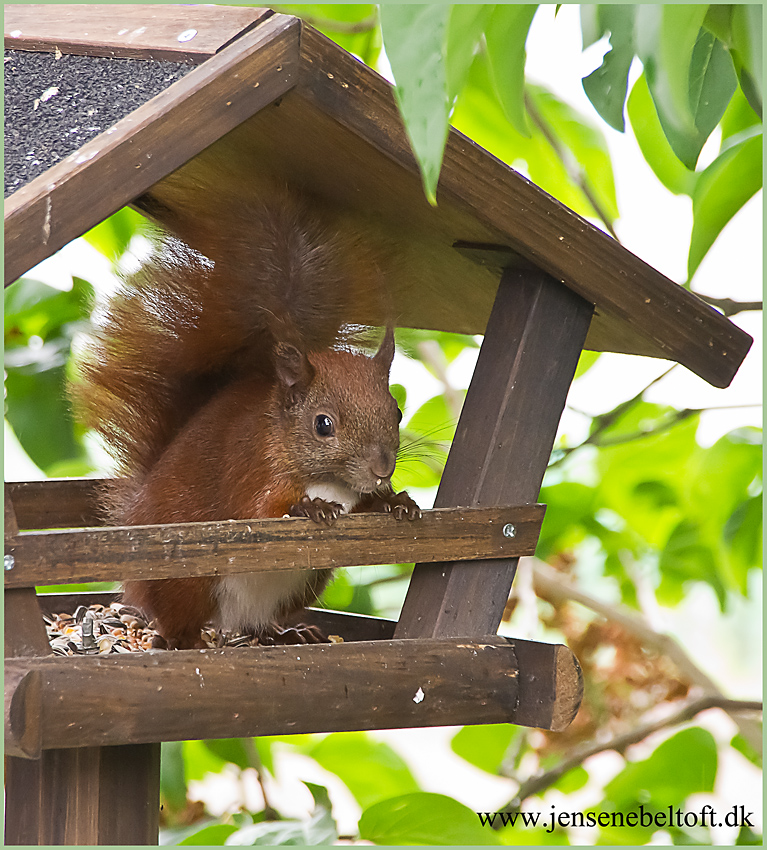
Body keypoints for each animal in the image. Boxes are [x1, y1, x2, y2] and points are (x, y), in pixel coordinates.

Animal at [73, 187, 420, 648]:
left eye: (397, 412)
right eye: (323, 424)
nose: (382, 469)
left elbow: (368, 506)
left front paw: (398, 502)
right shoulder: (253, 468)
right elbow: (259, 511)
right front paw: (310, 507)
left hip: (302, 583)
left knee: (257, 623)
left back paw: (288, 633)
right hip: (188, 581)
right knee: (178, 621)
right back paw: (180, 641)